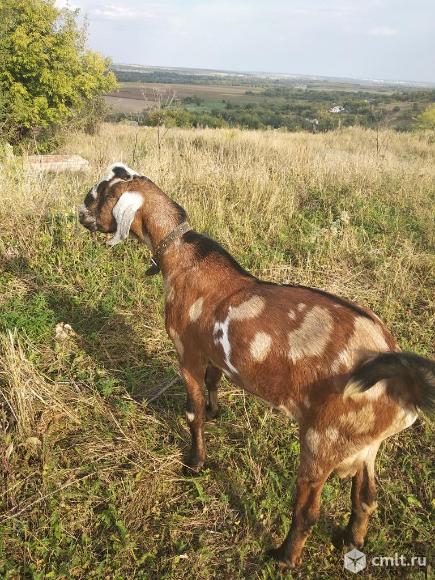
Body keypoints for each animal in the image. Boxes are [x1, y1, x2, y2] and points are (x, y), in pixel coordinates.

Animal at [79, 162, 435, 568]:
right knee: (366, 499)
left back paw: (284, 557)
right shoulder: (213, 352)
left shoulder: (187, 353)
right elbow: (214, 382)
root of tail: (402, 380)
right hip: (365, 446)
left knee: (308, 511)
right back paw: (350, 541)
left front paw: (195, 463)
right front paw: (216, 412)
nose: (79, 215)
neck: (184, 260)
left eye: (97, 195)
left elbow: (192, 411)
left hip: (322, 441)